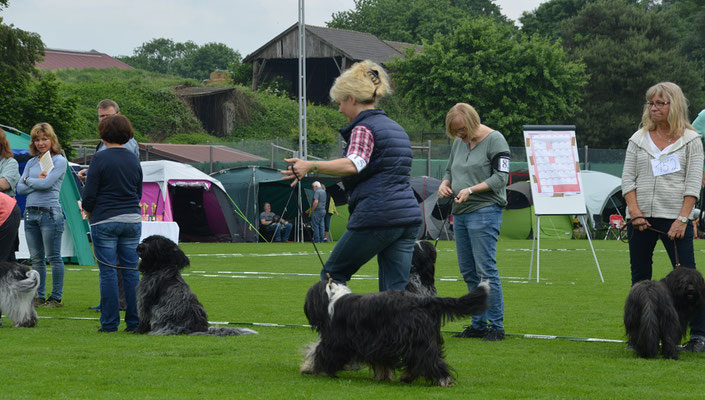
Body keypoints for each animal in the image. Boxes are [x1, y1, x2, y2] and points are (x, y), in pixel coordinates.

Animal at [300, 278, 486, 384]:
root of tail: (424, 300)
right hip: (421, 339)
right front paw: (383, 376)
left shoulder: (337, 340)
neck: (332, 299)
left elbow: (319, 351)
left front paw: (309, 368)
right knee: (422, 360)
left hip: (416, 340)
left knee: (430, 360)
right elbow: (381, 361)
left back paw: (443, 380)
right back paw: (407, 377)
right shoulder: (378, 341)